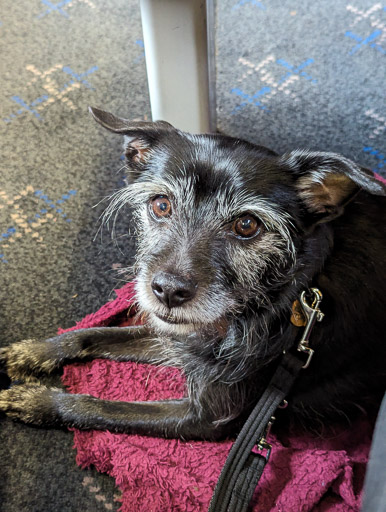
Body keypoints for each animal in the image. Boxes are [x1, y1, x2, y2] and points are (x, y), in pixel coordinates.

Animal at [0, 105, 386, 440]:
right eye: (160, 205)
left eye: (247, 225)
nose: (168, 291)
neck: (287, 295)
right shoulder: (184, 337)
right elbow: (93, 334)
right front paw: (35, 352)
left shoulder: (206, 418)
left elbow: (103, 408)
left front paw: (39, 401)